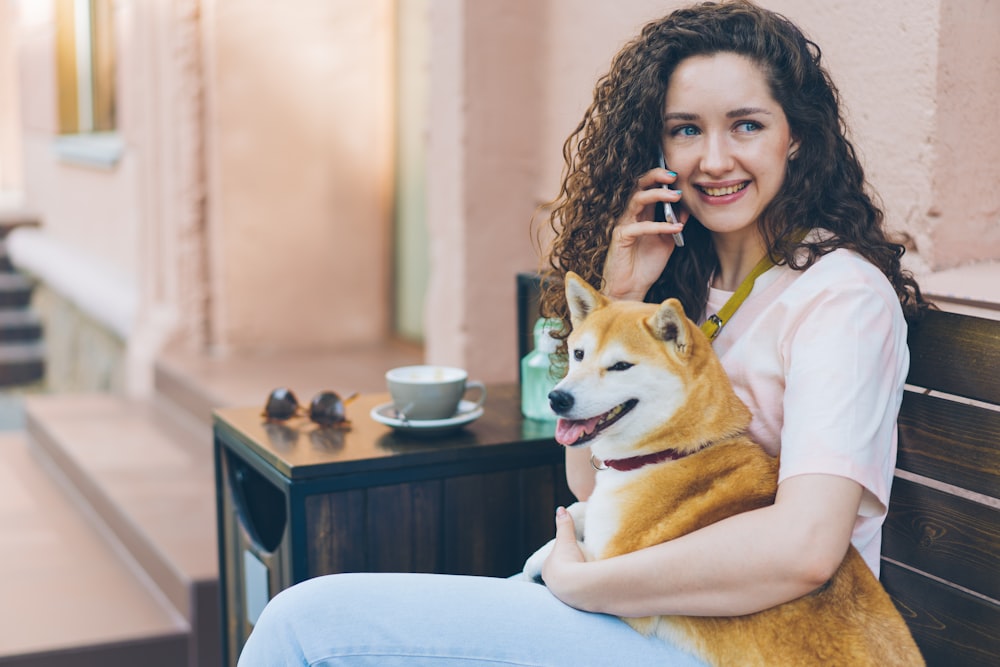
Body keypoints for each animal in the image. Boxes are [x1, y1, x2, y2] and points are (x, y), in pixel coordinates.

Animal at [524, 272, 920, 667]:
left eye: (621, 366)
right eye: (578, 354)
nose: (557, 398)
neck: (671, 452)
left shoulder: (612, 567)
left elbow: (568, 551)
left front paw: (542, 561)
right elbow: (579, 508)